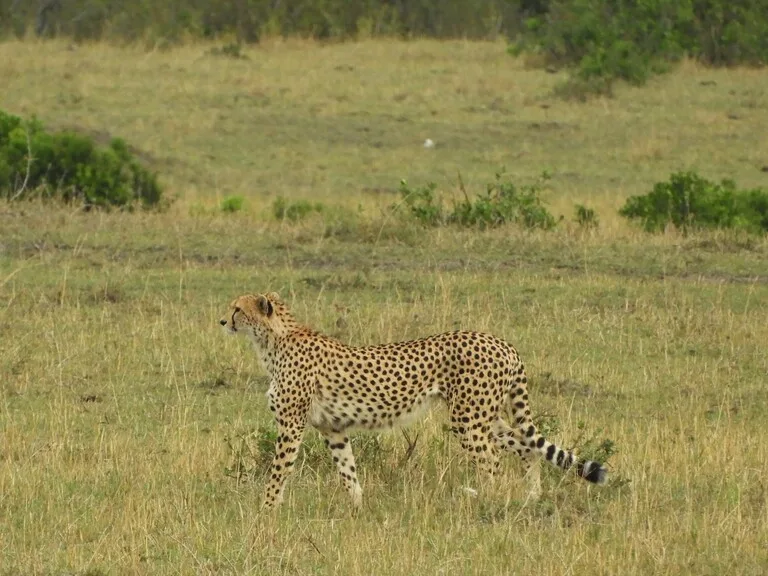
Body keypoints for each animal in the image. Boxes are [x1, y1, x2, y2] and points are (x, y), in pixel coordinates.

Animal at [219, 292, 608, 508]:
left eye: (238, 309)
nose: (223, 320)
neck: (272, 341)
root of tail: (502, 342)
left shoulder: (291, 425)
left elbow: (278, 470)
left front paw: (266, 509)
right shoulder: (333, 429)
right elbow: (347, 471)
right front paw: (358, 508)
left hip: (468, 420)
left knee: (492, 462)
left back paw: (486, 501)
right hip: (488, 417)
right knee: (527, 447)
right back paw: (530, 497)